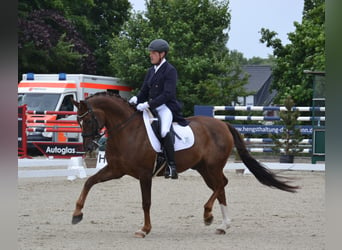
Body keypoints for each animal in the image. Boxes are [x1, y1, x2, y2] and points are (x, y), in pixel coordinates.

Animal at [71, 92, 298, 238]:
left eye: (88, 120)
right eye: (78, 122)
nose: (89, 146)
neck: (127, 131)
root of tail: (223, 124)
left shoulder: (144, 174)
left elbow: (146, 202)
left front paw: (144, 229)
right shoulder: (116, 170)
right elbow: (89, 182)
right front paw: (77, 214)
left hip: (212, 166)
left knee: (222, 184)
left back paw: (208, 215)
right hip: (204, 169)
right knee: (220, 187)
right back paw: (223, 225)